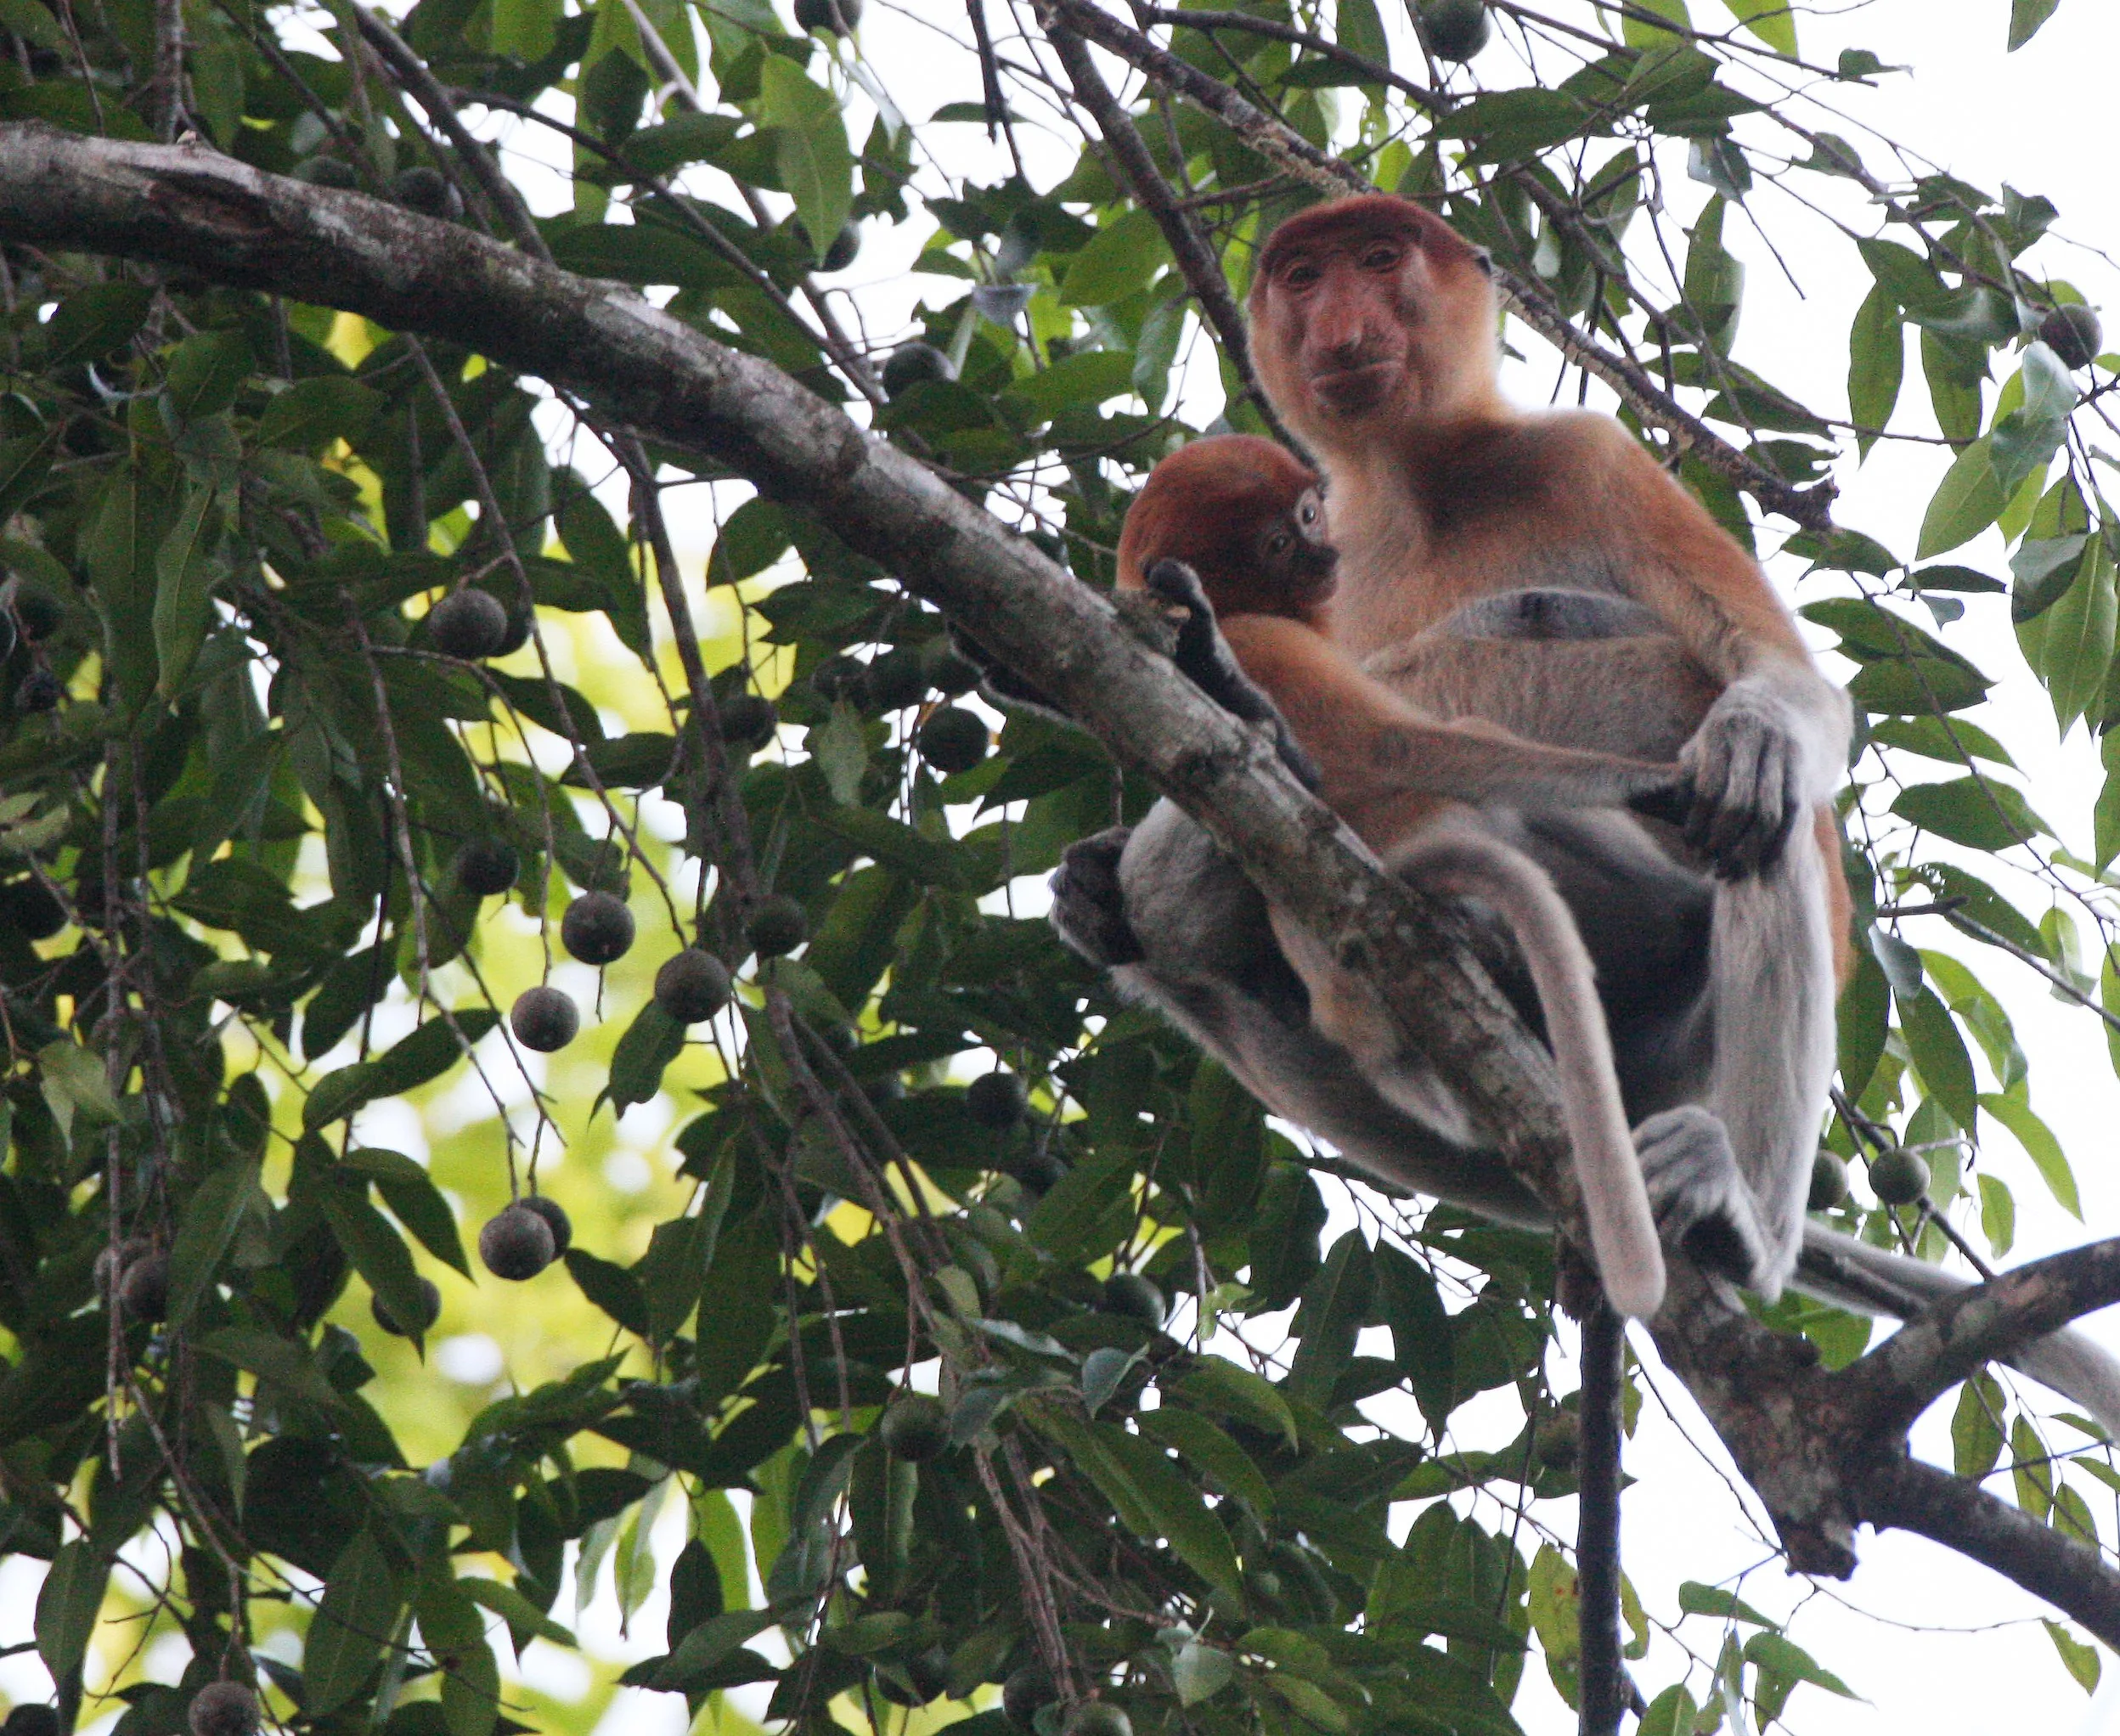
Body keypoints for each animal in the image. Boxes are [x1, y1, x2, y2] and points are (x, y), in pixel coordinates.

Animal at [1115, 433, 1688, 1316]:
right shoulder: (1279, 641)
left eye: (1307, 515)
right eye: (1278, 543)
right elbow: (1392, 746)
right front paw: (1668, 788)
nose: (1325, 556)